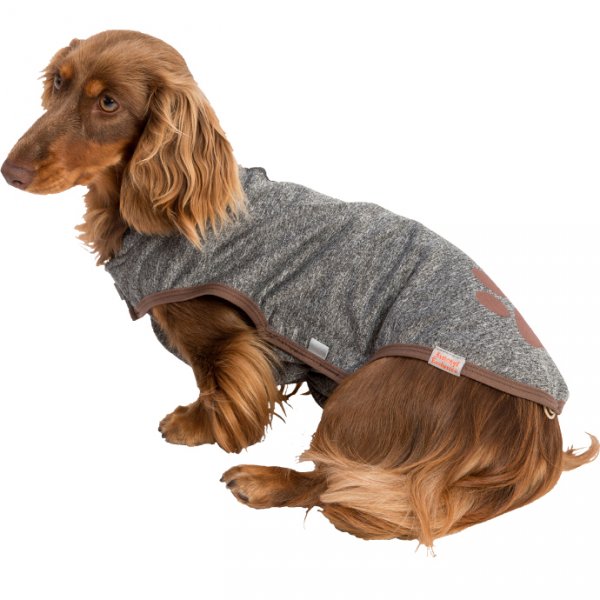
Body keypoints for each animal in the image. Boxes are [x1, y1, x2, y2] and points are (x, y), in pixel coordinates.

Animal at [2, 30, 597, 548]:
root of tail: (541, 440)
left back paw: (262, 481)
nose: (11, 171)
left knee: (351, 486)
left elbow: (217, 388)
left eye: (108, 103)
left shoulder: (226, 337)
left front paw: (197, 427)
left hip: (376, 384)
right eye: (58, 82)